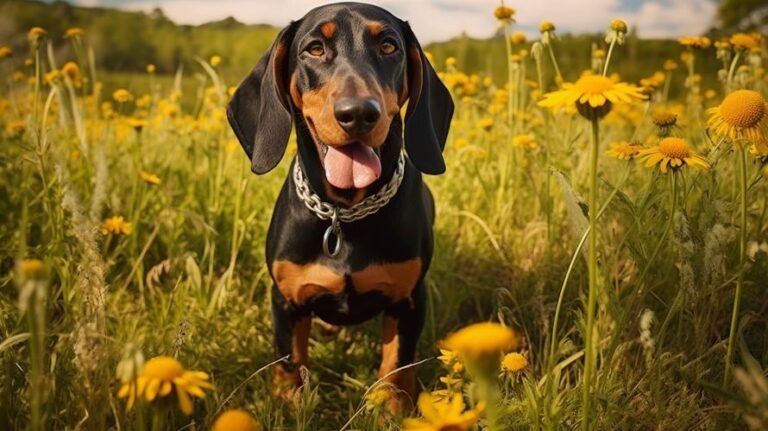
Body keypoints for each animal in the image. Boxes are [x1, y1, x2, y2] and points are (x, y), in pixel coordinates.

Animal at [228, 1, 452, 410]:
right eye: (315, 48)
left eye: (389, 46)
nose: (359, 113)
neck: (344, 215)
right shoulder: (286, 301)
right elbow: (291, 362)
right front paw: (289, 407)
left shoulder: (409, 301)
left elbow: (397, 367)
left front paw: (394, 411)